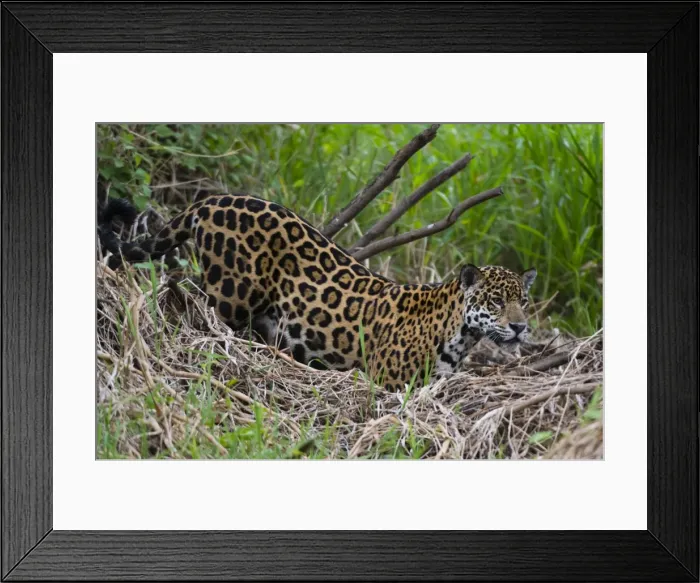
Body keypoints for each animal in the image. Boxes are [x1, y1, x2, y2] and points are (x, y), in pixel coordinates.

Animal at [98, 192, 537, 391]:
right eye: (497, 302)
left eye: (523, 301)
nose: (520, 328)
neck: (459, 333)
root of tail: (216, 199)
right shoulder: (388, 382)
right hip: (230, 294)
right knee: (193, 301)